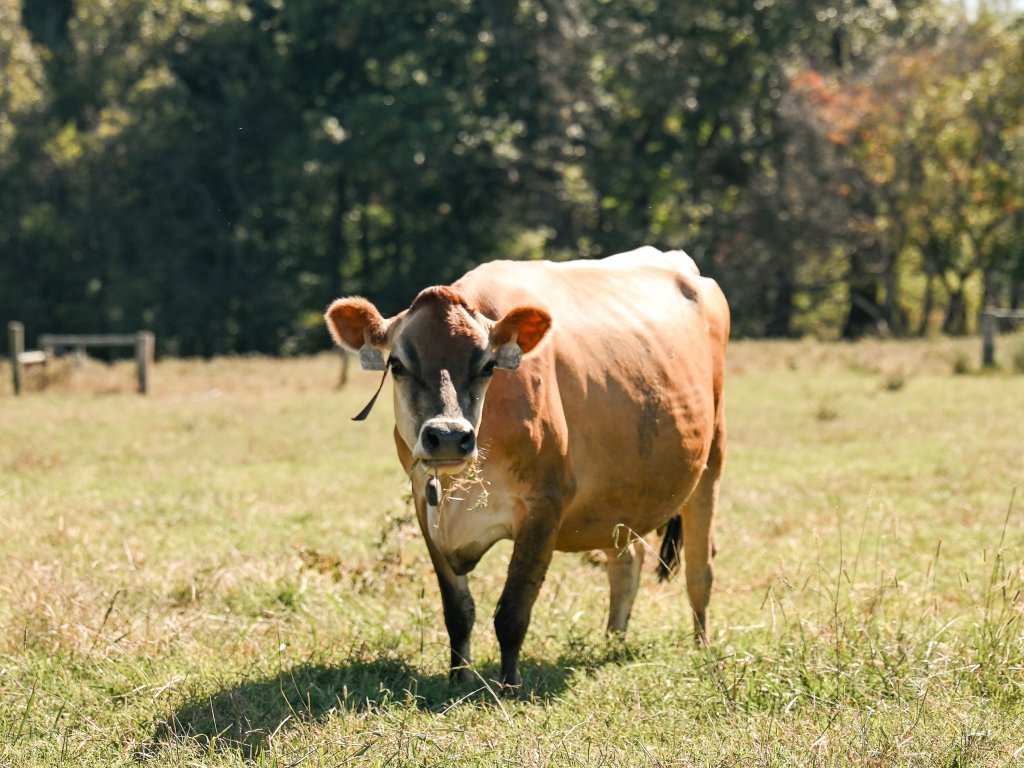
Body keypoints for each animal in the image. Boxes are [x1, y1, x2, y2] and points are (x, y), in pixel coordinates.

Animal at [325, 246, 729, 692]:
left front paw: (509, 686)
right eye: (396, 364)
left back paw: (702, 647)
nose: (448, 436)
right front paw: (458, 679)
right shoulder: (424, 506)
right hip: (620, 496)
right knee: (626, 563)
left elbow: (513, 611)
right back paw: (613, 641)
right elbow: (457, 611)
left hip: (711, 456)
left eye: (488, 366)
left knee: (700, 569)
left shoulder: (544, 506)